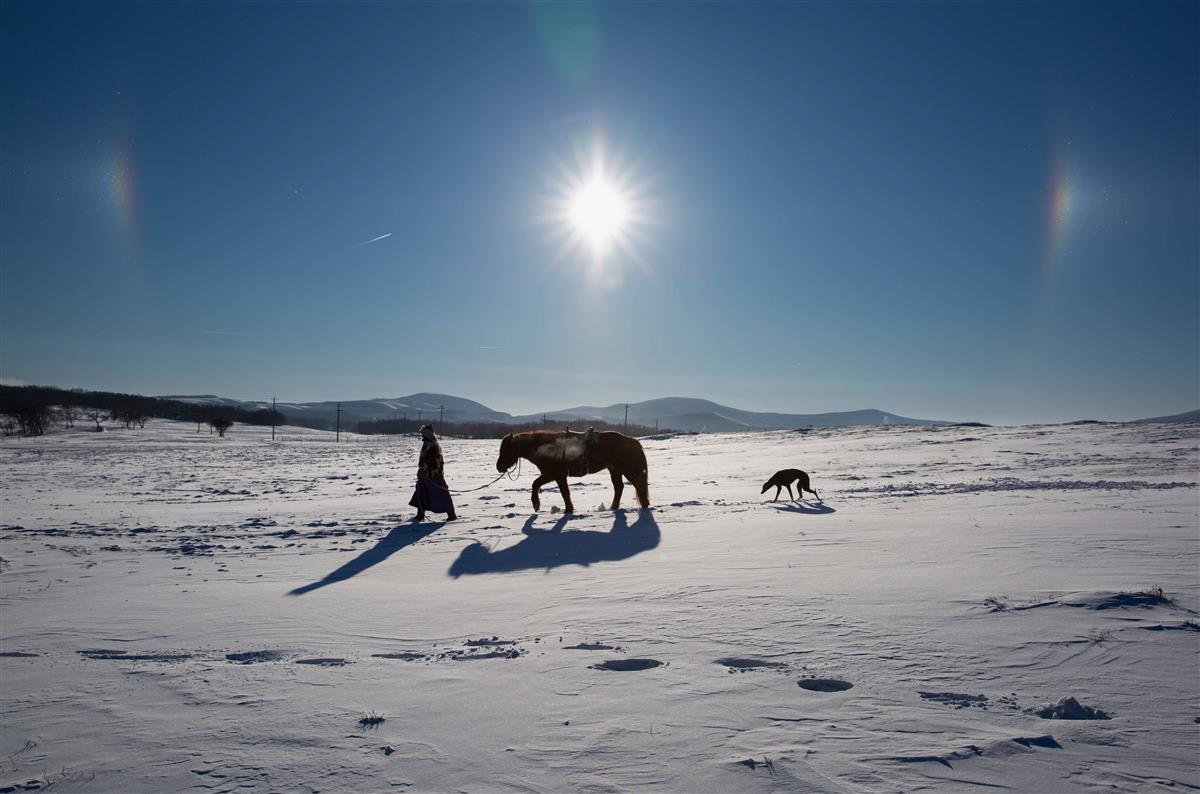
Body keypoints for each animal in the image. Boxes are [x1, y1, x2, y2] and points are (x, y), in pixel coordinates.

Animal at [496, 429, 650, 514]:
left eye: (506, 450)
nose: (499, 467)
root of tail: (631, 441)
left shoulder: (557, 475)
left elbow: (564, 492)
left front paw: (568, 510)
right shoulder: (550, 474)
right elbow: (536, 484)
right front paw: (536, 504)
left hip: (627, 470)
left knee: (638, 486)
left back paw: (644, 507)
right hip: (615, 469)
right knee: (619, 487)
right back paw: (613, 508)